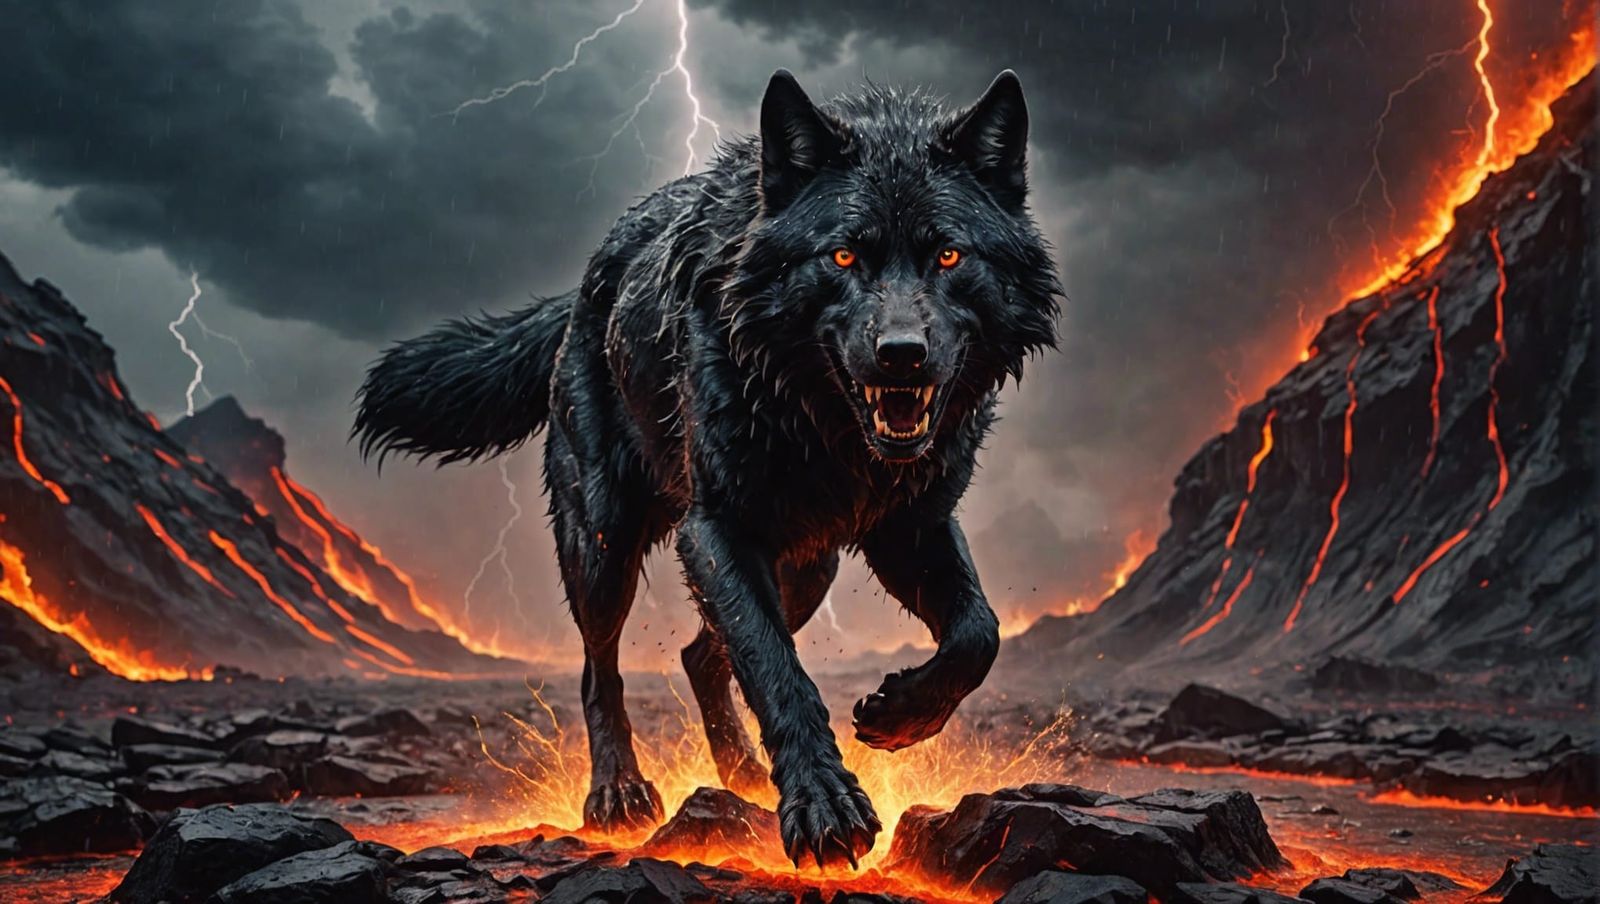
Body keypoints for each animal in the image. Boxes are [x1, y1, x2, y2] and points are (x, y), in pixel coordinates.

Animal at [354, 68, 1061, 867]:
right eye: (843, 257)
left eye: (949, 256)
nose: (902, 355)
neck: (823, 426)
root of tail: (582, 289)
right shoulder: (716, 529)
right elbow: (774, 667)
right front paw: (823, 803)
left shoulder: (913, 528)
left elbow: (979, 631)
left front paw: (898, 716)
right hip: (603, 544)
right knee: (600, 667)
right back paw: (618, 794)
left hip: (807, 568)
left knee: (699, 654)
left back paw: (744, 772)